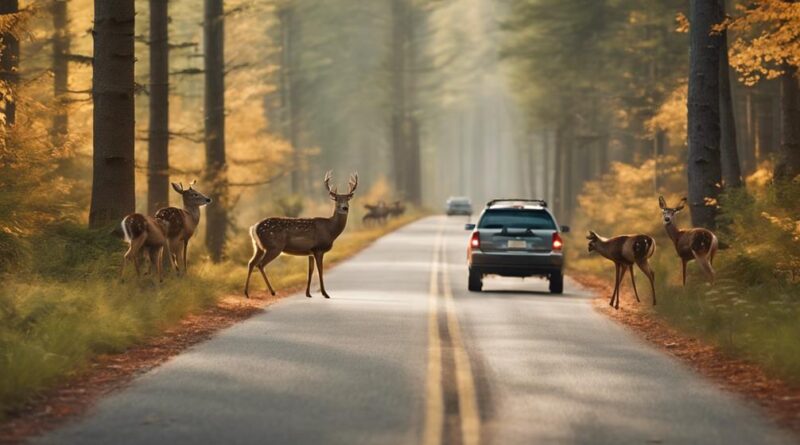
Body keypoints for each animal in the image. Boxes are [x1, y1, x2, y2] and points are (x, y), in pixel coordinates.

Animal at [242, 170, 358, 298]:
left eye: (347, 199)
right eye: (337, 199)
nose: (345, 207)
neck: (330, 230)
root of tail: (253, 227)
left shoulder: (310, 252)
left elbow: (310, 271)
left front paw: (308, 293)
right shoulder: (318, 249)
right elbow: (320, 270)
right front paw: (325, 293)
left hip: (258, 247)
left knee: (251, 262)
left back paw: (246, 293)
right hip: (273, 246)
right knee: (260, 264)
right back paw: (272, 291)